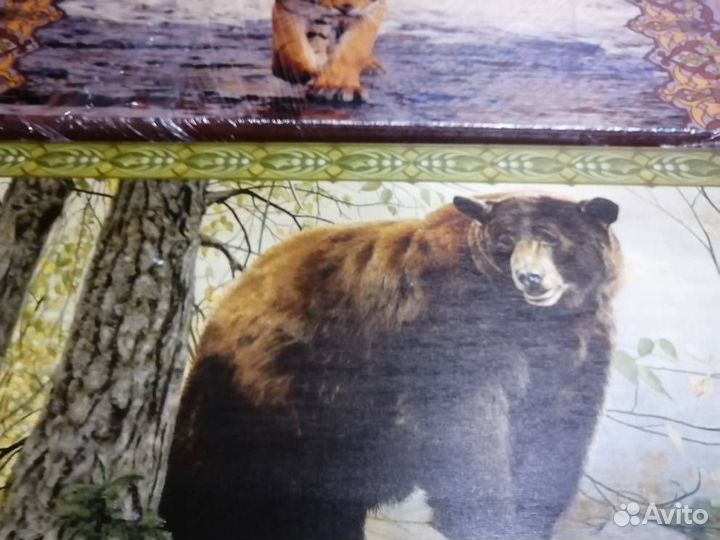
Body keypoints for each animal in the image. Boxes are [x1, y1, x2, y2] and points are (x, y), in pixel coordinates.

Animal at [160, 193, 622, 540]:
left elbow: (556, 433)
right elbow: (467, 429)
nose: (529, 278)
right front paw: (484, 518)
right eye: (505, 240)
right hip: (260, 397)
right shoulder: (447, 328)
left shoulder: (580, 351)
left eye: (551, 238)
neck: (527, 323)